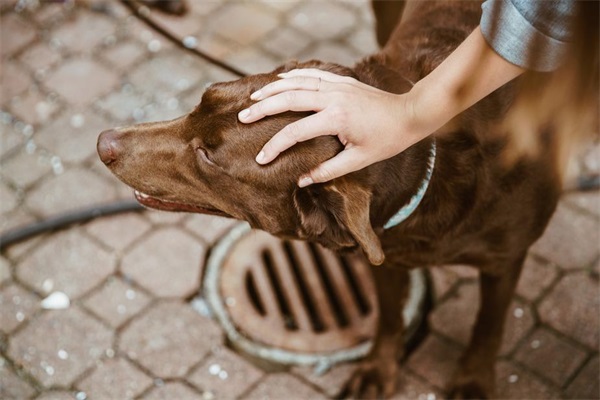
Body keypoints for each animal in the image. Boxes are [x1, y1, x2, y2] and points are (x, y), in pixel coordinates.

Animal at [96, 2, 560, 396]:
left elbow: (488, 326)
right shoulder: (387, 250)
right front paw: (378, 369)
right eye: (202, 100)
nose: (103, 143)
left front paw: (473, 381)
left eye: (208, 156)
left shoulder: (505, 258)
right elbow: (388, 317)